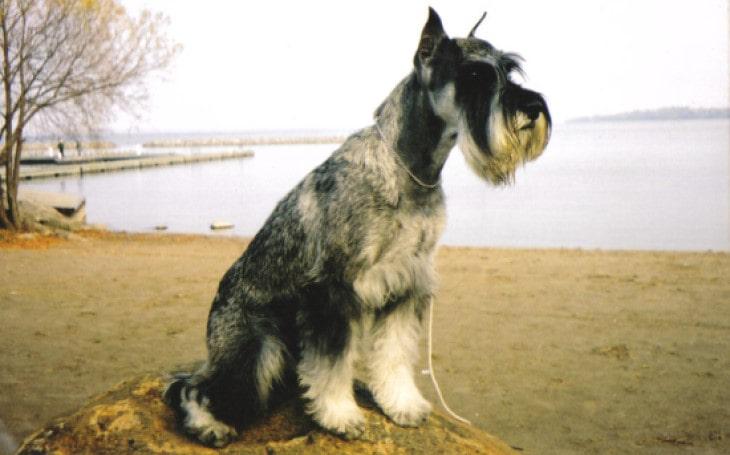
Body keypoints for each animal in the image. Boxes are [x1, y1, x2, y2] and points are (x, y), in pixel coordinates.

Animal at [165, 8, 548, 448]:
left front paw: (402, 404)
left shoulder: (406, 284)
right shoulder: (332, 291)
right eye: (474, 75)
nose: (533, 108)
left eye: (508, 70)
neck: (410, 172)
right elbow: (332, 364)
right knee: (197, 387)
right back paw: (208, 424)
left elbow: (394, 354)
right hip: (257, 347)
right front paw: (339, 415)